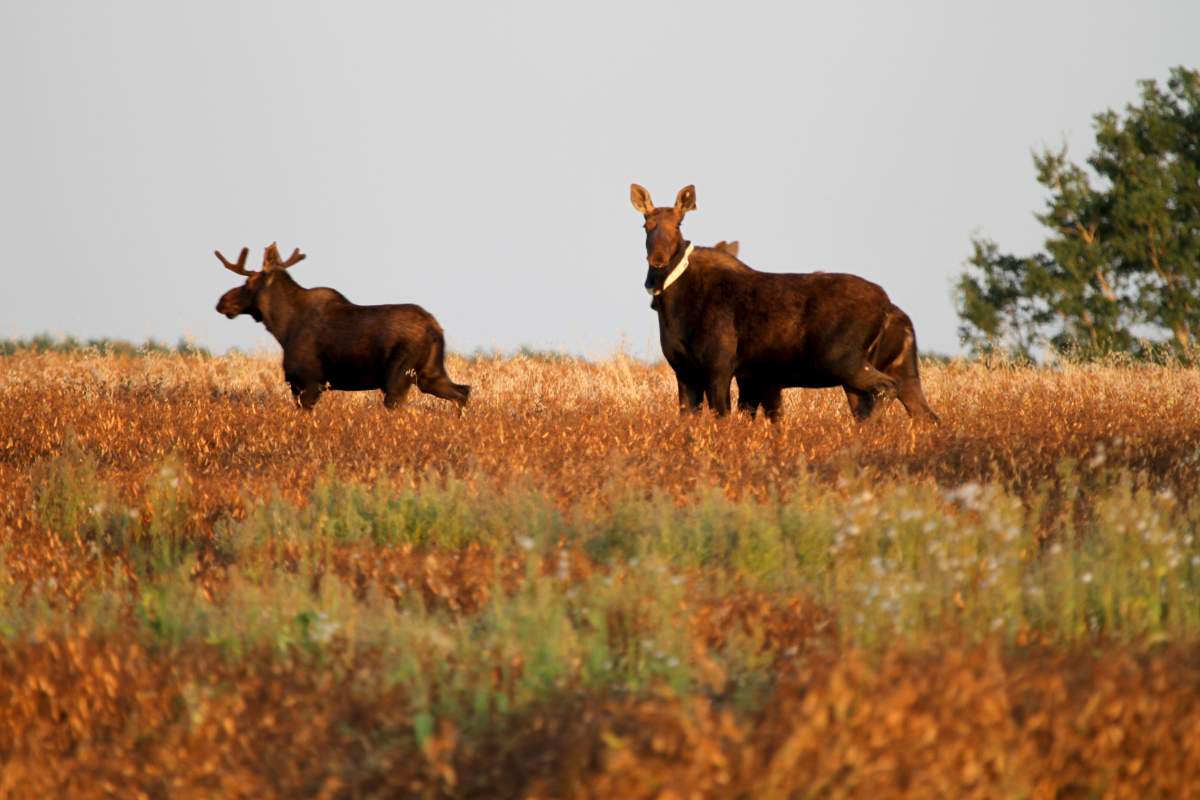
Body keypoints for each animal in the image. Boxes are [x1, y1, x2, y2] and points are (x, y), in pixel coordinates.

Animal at [214, 244, 470, 411]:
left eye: (248, 282)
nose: (222, 302)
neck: (282, 328)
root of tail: (435, 329)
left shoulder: (308, 381)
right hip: (430, 373)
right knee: (463, 392)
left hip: (398, 377)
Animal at [631, 183, 937, 423]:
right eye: (645, 225)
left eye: (678, 224)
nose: (657, 259)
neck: (672, 308)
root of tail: (890, 309)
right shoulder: (687, 370)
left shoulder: (720, 367)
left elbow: (725, 418)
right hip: (901, 368)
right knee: (925, 414)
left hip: (842, 361)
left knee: (885, 390)